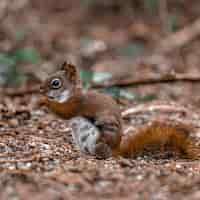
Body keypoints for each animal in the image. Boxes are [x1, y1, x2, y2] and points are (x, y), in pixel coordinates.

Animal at [38, 61, 200, 159]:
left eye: (56, 83)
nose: (40, 89)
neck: (71, 94)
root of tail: (117, 151)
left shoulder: (77, 104)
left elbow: (64, 111)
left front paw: (44, 101)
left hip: (97, 140)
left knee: (103, 154)